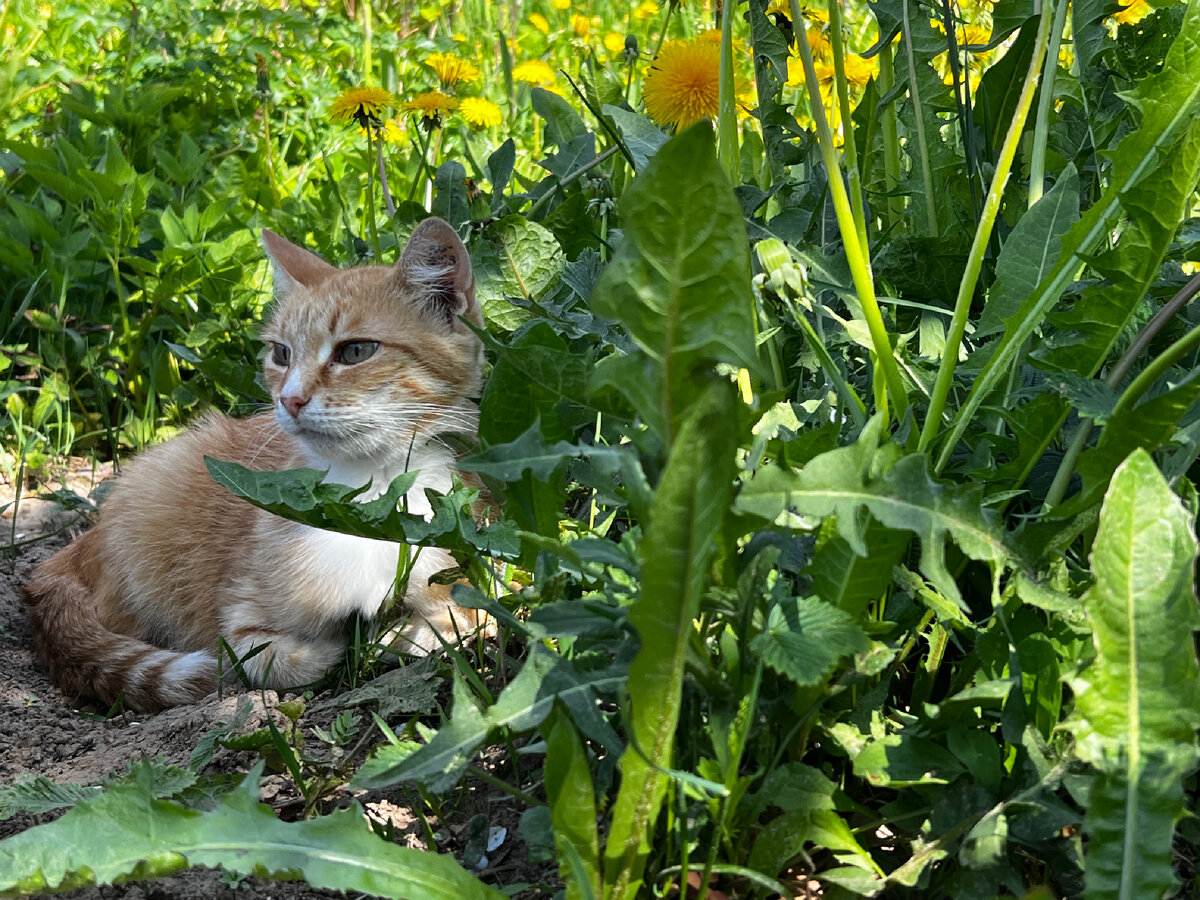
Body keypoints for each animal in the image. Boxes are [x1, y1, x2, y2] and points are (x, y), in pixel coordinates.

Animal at [19, 217, 487, 710]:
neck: (369, 492)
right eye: (282, 354)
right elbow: (267, 660)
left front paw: (394, 634)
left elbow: (452, 623)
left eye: (356, 352)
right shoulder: (240, 620)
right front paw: (340, 645)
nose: (289, 400)